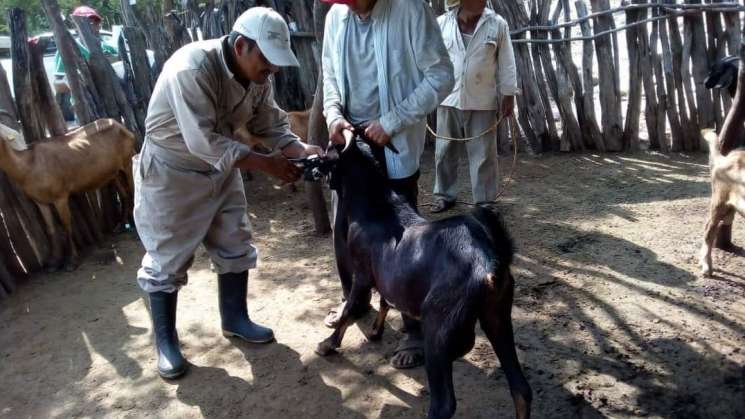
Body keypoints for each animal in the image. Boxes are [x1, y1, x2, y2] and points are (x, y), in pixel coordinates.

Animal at [0, 118, 135, 272]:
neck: (28, 166)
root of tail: (121, 125)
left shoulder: (60, 197)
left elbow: (66, 226)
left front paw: (72, 261)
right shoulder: (40, 201)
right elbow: (50, 229)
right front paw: (53, 262)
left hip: (127, 162)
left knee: (133, 189)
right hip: (113, 173)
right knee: (124, 195)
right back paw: (120, 226)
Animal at [316, 135, 532, 419]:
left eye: (330, 148)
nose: (313, 165)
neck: (377, 207)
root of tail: (488, 264)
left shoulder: (362, 275)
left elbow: (350, 309)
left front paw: (328, 344)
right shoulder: (391, 275)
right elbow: (385, 301)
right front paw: (374, 332)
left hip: (438, 330)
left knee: (443, 404)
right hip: (497, 317)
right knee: (520, 389)